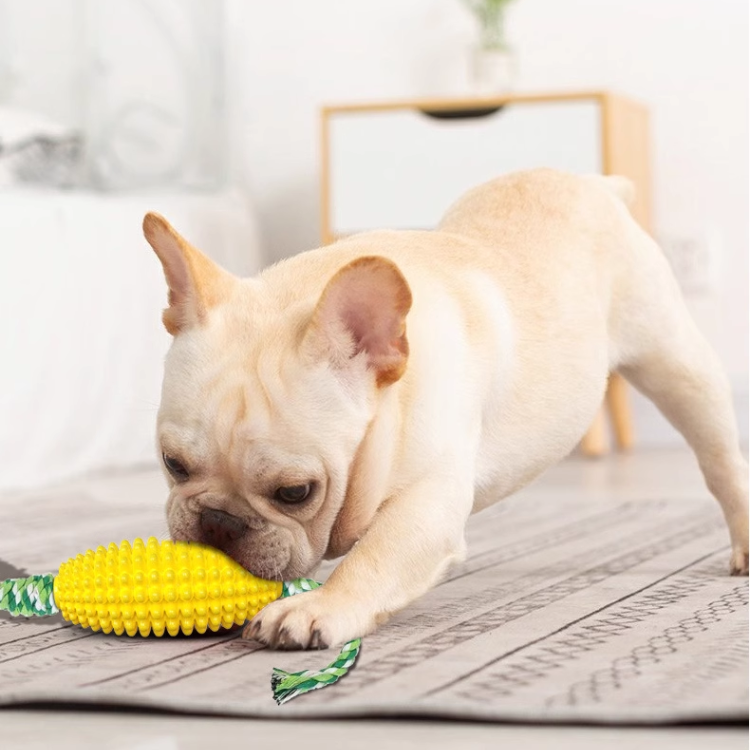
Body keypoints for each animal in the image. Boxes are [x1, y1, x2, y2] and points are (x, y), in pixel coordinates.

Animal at [144, 169, 748, 652]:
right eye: (172, 463)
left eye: (296, 492)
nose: (218, 522)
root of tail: (596, 184)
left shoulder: (426, 505)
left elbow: (376, 557)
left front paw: (317, 608)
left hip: (675, 363)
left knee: (720, 459)